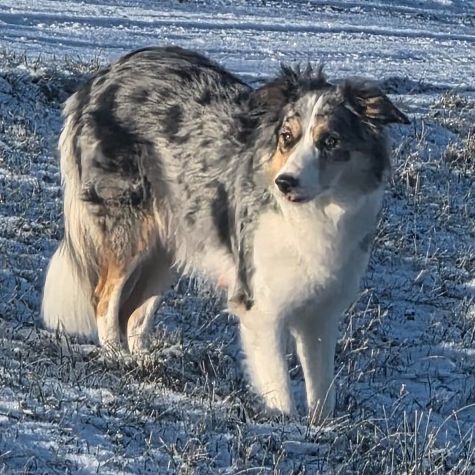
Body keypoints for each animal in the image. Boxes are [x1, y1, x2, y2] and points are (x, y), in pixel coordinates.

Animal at [42, 46, 409, 421]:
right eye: (287, 138)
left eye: (330, 141)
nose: (285, 183)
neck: (315, 213)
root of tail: (101, 77)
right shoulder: (261, 308)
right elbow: (280, 388)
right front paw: (283, 423)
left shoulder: (320, 314)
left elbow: (323, 393)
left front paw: (319, 429)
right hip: (131, 228)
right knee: (105, 297)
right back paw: (115, 355)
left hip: (173, 240)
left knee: (133, 312)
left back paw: (144, 362)